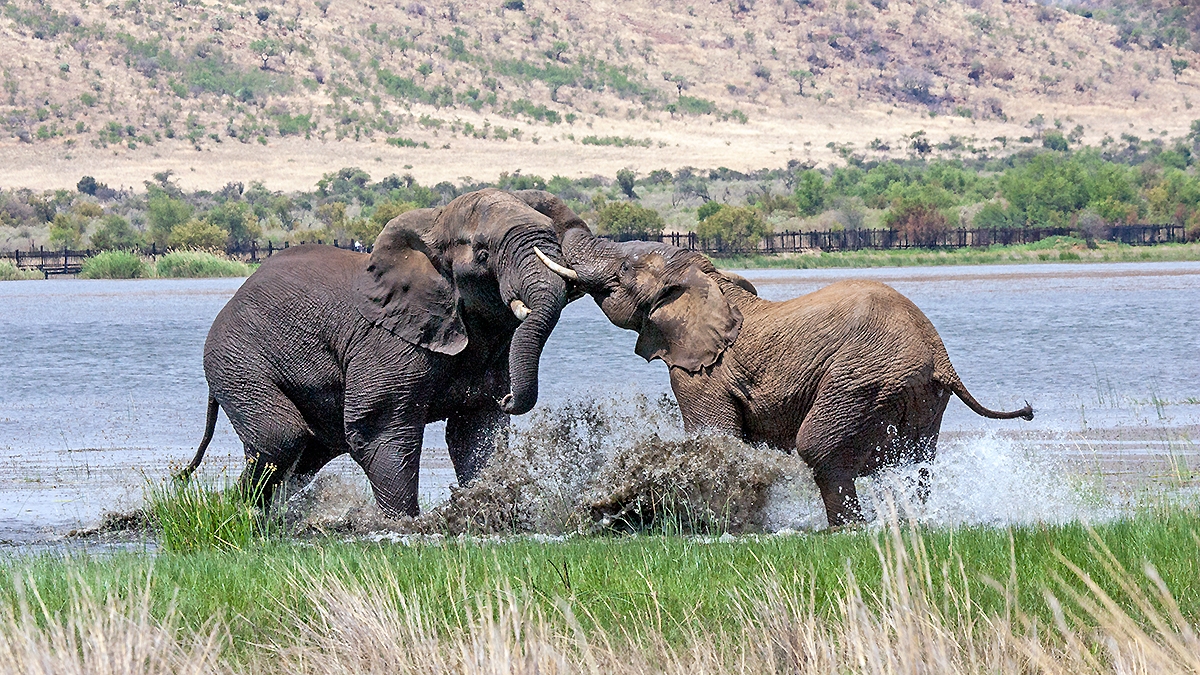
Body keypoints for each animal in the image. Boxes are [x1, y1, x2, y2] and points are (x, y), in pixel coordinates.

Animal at [179, 188, 573, 517]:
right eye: (482, 253)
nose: (508, 398)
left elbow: (475, 432)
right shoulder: (387, 344)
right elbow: (381, 430)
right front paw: (404, 525)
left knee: (305, 453)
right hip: (236, 358)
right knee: (281, 436)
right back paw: (240, 512)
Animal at [520, 196, 1034, 527]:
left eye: (624, 271)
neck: (711, 281)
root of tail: (939, 354)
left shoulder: (701, 374)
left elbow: (717, 440)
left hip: (863, 379)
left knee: (819, 449)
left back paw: (847, 529)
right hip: (919, 396)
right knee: (917, 466)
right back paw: (911, 522)